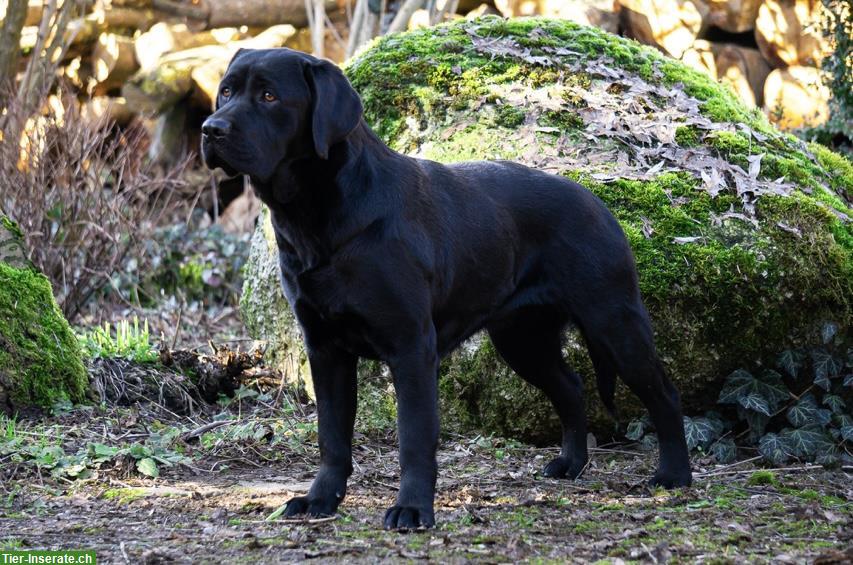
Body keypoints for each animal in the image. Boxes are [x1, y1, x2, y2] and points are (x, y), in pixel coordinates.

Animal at [201, 48, 692, 528]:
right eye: (225, 92)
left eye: (268, 96)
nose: (210, 129)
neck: (316, 215)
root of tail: (598, 203)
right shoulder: (325, 348)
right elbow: (332, 438)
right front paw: (320, 500)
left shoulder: (411, 346)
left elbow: (415, 438)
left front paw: (413, 509)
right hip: (522, 339)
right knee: (571, 387)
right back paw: (570, 464)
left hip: (614, 322)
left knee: (664, 395)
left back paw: (674, 475)